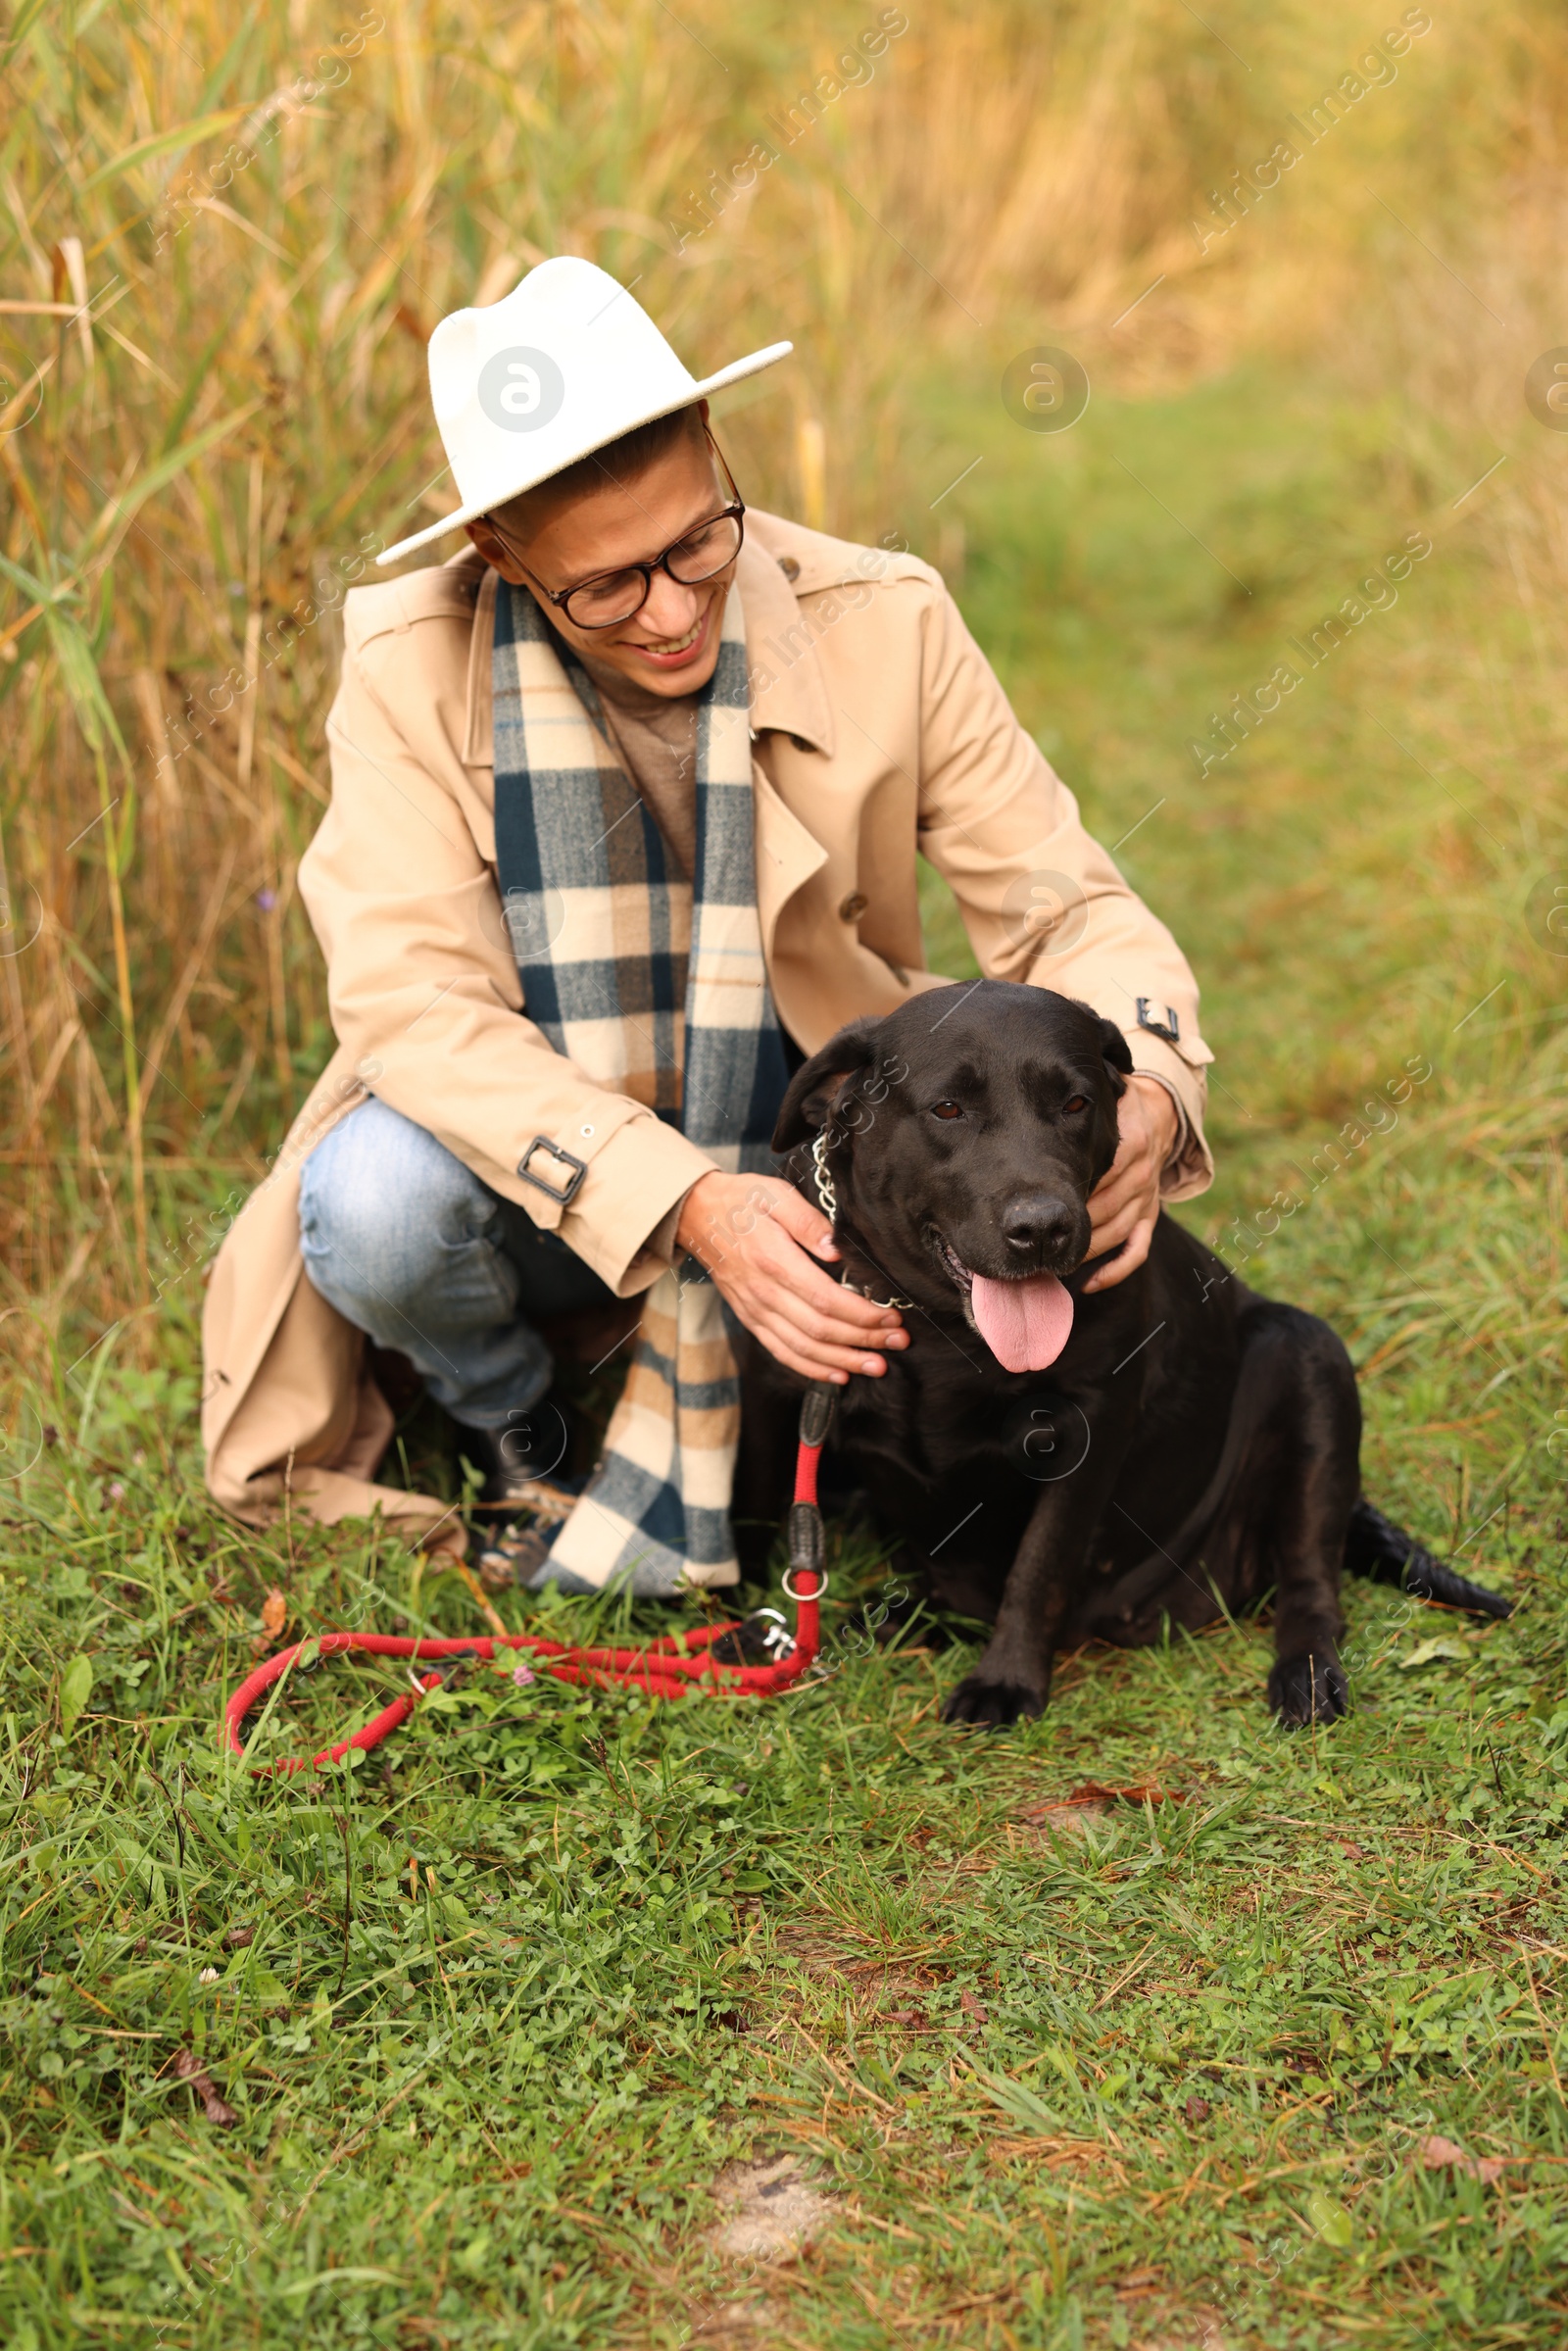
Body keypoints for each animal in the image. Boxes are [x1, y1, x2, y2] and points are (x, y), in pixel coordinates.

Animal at [743, 973, 1513, 1730]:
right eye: (949, 1108)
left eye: (1076, 1102)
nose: (1043, 1228)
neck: (942, 1329)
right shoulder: (778, 1393)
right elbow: (752, 1515)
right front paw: (747, 1621)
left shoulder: (1087, 1422)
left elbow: (1039, 1565)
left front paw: (1006, 1680)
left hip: (1309, 1357)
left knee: (1311, 1581)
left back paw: (1306, 1674)